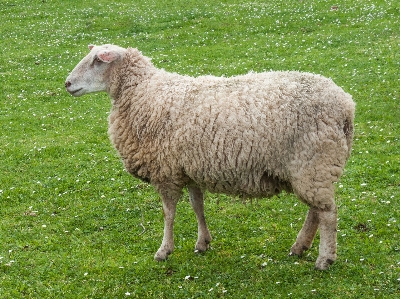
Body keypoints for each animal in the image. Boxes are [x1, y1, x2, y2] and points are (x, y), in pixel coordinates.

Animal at [65, 44, 356, 272]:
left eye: (97, 61)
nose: (67, 84)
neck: (143, 93)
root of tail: (346, 105)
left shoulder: (165, 172)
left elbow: (168, 213)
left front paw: (164, 250)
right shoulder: (189, 168)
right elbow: (198, 206)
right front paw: (203, 242)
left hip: (315, 161)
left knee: (328, 213)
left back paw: (324, 259)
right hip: (313, 167)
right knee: (316, 210)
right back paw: (299, 247)